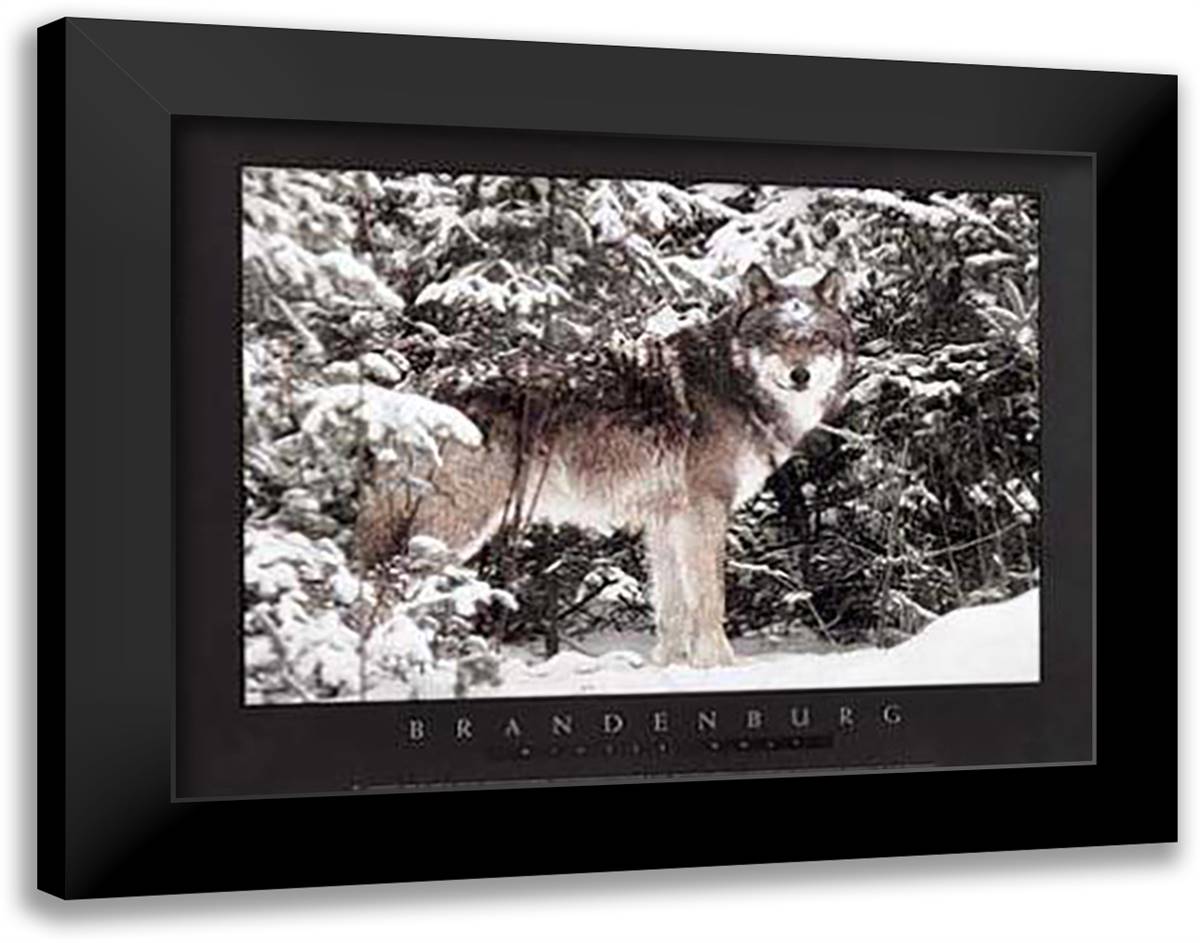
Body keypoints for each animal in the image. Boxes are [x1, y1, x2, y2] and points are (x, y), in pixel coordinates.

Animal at [357, 264, 855, 668]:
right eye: (776, 339)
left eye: (816, 339)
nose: (801, 375)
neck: (732, 383)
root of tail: (421, 389)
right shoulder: (704, 509)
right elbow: (709, 599)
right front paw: (718, 665)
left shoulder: (666, 518)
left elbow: (672, 607)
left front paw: (669, 666)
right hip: (455, 528)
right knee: (384, 591)